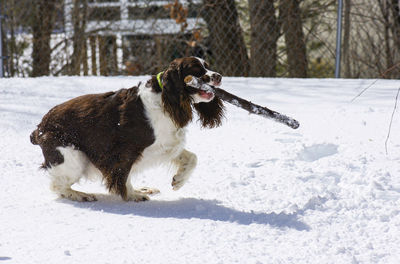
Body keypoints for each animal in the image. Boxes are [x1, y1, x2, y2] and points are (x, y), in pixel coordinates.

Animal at [30, 57, 225, 202]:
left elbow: (192, 158)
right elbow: (123, 174)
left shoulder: (165, 144)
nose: (219, 76)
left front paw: (178, 181)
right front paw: (132, 195)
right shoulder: (125, 150)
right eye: (196, 69)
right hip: (73, 156)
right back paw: (80, 195)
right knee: (57, 185)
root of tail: (40, 128)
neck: (165, 99)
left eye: (207, 66)